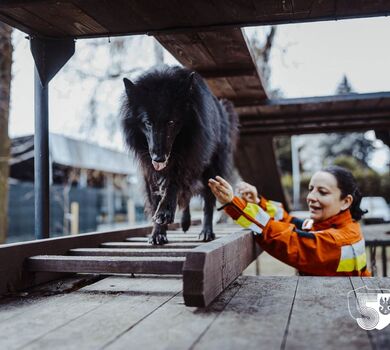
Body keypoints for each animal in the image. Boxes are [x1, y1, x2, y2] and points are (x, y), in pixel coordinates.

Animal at [121, 66, 238, 246]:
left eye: (171, 122)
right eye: (148, 123)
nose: (158, 158)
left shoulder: (188, 160)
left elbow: (173, 183)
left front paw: (164, 212)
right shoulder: (149, 173)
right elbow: (156, 201)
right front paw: (158, 233)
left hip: (211, 171)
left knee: (207, 202)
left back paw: (206, 231)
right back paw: (185, 222)